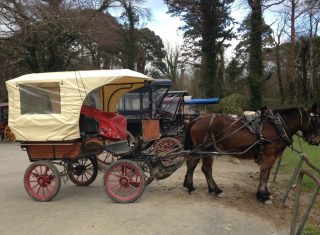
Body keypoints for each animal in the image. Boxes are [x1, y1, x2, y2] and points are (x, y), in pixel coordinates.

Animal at [182, 103, 320, 203]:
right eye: (316, 121)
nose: (317, 141)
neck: (277, 126)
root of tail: (197, 120)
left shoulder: (273, 157)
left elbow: (267, 174)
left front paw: (265, 193)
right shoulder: (269, 155)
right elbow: (264, 174)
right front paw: (263, 196)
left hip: (201, 149)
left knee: (192, 164)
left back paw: (191, 186)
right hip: (207, 150)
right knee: (206, 169)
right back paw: (215, 190)